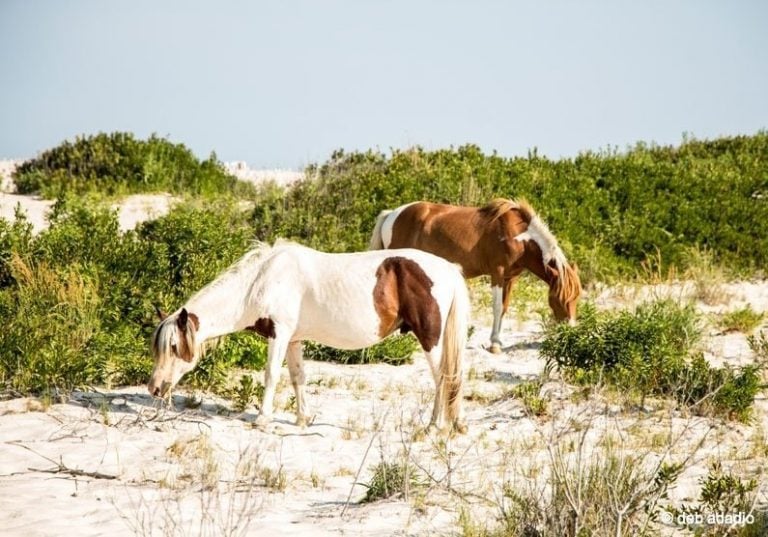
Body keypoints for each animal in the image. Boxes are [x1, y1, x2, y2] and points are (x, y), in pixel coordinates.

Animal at [145, 241, 468, 434]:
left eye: (173, 346)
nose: (154, 388)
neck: (262, 281)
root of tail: (449, 269)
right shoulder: (293, 339)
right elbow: (298, 377)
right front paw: (303, 419)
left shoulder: (279, 334)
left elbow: (271, 375)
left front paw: (263, 418)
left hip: (431, 339)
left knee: (443, 378)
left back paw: (433, 426)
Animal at [368, 199, 580, 354]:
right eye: (560, 298)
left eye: (576, 298)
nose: (570, 329)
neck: (518, 235)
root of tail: (392, 214)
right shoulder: (497, 273)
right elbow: (496, 307)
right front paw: (494, 345)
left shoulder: (510, 278)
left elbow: (504, 308)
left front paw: (497, 341)